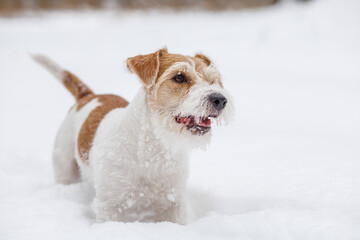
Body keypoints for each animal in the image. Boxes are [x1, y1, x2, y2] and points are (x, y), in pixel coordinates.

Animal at [31, 49, 233, 225]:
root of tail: (88, 95)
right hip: (64, 166)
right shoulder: (110, 206)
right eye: (179, 77)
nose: (220, 99)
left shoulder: (174, 205)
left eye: (212, 80)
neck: (154, 151)